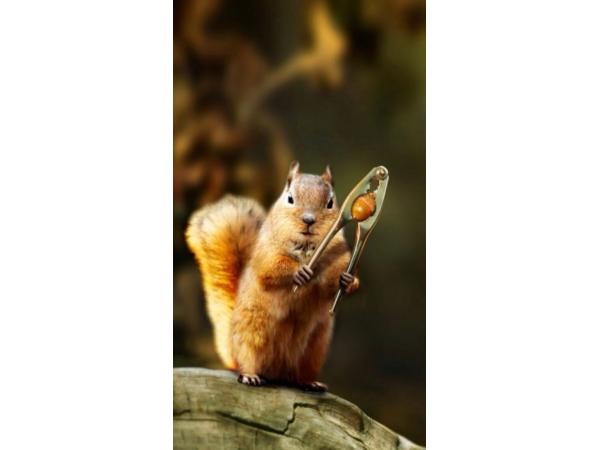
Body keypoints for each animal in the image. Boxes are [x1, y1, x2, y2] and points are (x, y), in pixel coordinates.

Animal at [186, 161, 359, 391]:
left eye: (330, 203)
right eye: (290, 198)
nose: (309, 220)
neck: (307, 250)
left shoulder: (340, 257)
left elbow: (330, 285)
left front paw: (349, 282)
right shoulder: (266, 253)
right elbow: (270, 270)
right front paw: (298, 272)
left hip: (314, 349)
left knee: (299, 374)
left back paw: (310, 382)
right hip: (251, 337)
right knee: (248, 361)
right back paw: (250, 375)